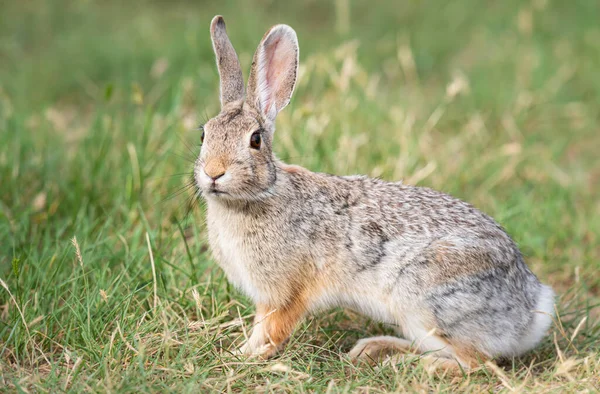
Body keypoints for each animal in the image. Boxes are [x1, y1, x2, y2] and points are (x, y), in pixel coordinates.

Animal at [195, 15, 556, 372]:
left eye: (255, 140)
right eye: (203, 134)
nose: (213, 172)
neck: (257, 197)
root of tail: (531, 309)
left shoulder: (285, 292)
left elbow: (271, 329)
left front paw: (240, 356)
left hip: (426, 300)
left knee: (476, 362)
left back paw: (409, 364)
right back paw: (374, 349)